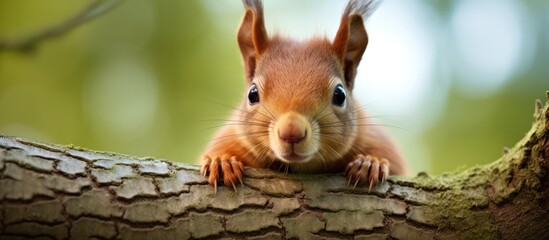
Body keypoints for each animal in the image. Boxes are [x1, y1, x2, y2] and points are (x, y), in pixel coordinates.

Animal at [199, 0, 404, 191]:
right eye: (252, 94)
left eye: (340, 95)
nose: (291, 132)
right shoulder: (231, 137)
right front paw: (222, 161)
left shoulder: (373, 137)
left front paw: (370, 163)